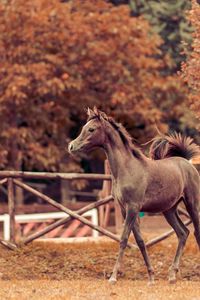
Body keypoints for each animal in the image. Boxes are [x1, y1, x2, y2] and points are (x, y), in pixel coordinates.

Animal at [67, 107, 200, 284]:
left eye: (91, 129)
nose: (71, 146)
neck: (127, 168)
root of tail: (186, 162)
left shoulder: (133, 208)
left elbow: (124, 239)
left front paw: (113, 277)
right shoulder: (126, 210)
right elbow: (140, 241)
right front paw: (151, 277)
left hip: (192, 204)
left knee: (196, 232)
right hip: (169, 210)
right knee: (183, 233)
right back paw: (172, 275)